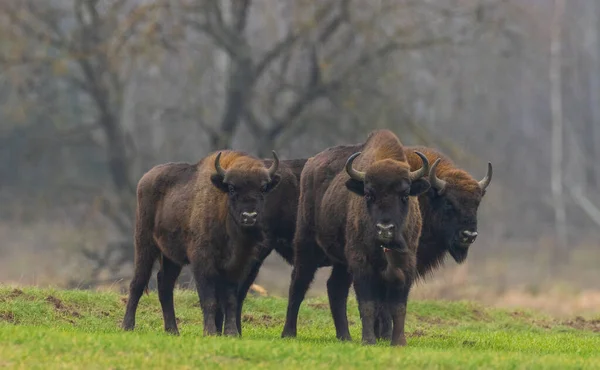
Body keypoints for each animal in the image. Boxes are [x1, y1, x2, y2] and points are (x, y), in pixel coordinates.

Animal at [122, 150, 284, 336]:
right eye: (232, 188)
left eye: (263, 188)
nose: (249, 216)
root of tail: (145, 179)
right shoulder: (202, 262)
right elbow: (209, 299)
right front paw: (210, 332)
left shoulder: (235, 267)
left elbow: (230, 300)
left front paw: (231, 333)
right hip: (145, 244)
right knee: (138, 281)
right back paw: (127, 325)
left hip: (172, 258)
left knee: (165, 285)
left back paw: (173, 330)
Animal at [282, 129, 432, 344]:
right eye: (369, 194)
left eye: (405, 195)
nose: (385, 228)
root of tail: (309, 165)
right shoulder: (361, 262)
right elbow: (367, 304)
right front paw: (369, 340)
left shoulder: (406, 263)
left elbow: (398, 306)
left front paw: (398, 342)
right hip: (306, 245)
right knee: (298, 284)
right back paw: (288, 333)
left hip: (341, 262)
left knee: (335, 288)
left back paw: (345, 336)